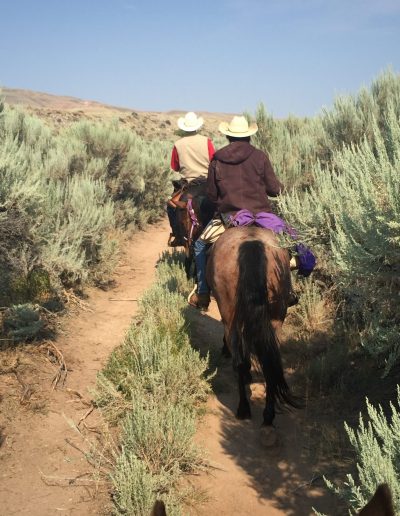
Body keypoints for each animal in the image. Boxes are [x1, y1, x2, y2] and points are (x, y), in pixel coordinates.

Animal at [206, 225, 300, 424]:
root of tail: (251, 244)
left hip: (230, 317)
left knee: (240, 360)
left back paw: (243, 408)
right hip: (276, 319)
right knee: (269, 360)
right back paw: (268, 414)